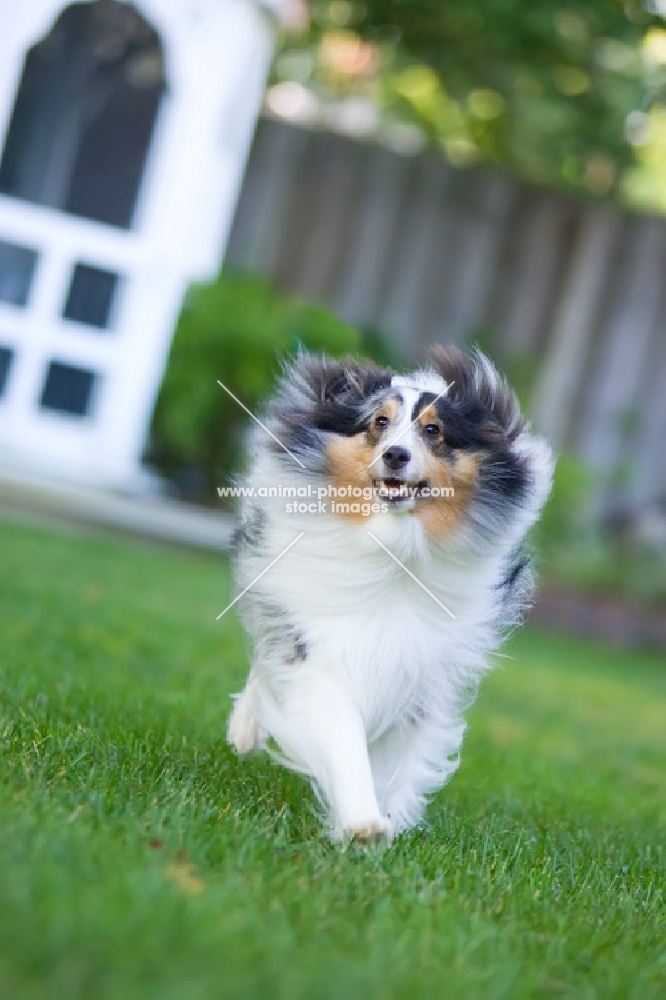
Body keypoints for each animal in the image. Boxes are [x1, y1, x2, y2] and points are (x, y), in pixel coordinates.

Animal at [226, 348, 552, 840]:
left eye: (434, 430)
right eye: (379, 422)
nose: (396, 454)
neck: (395, 546)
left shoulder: (420, 665)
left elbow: (400, 756)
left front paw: (389, 818)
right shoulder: (320, 643)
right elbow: (342, 732)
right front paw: (362, 822)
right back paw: (244, 731)